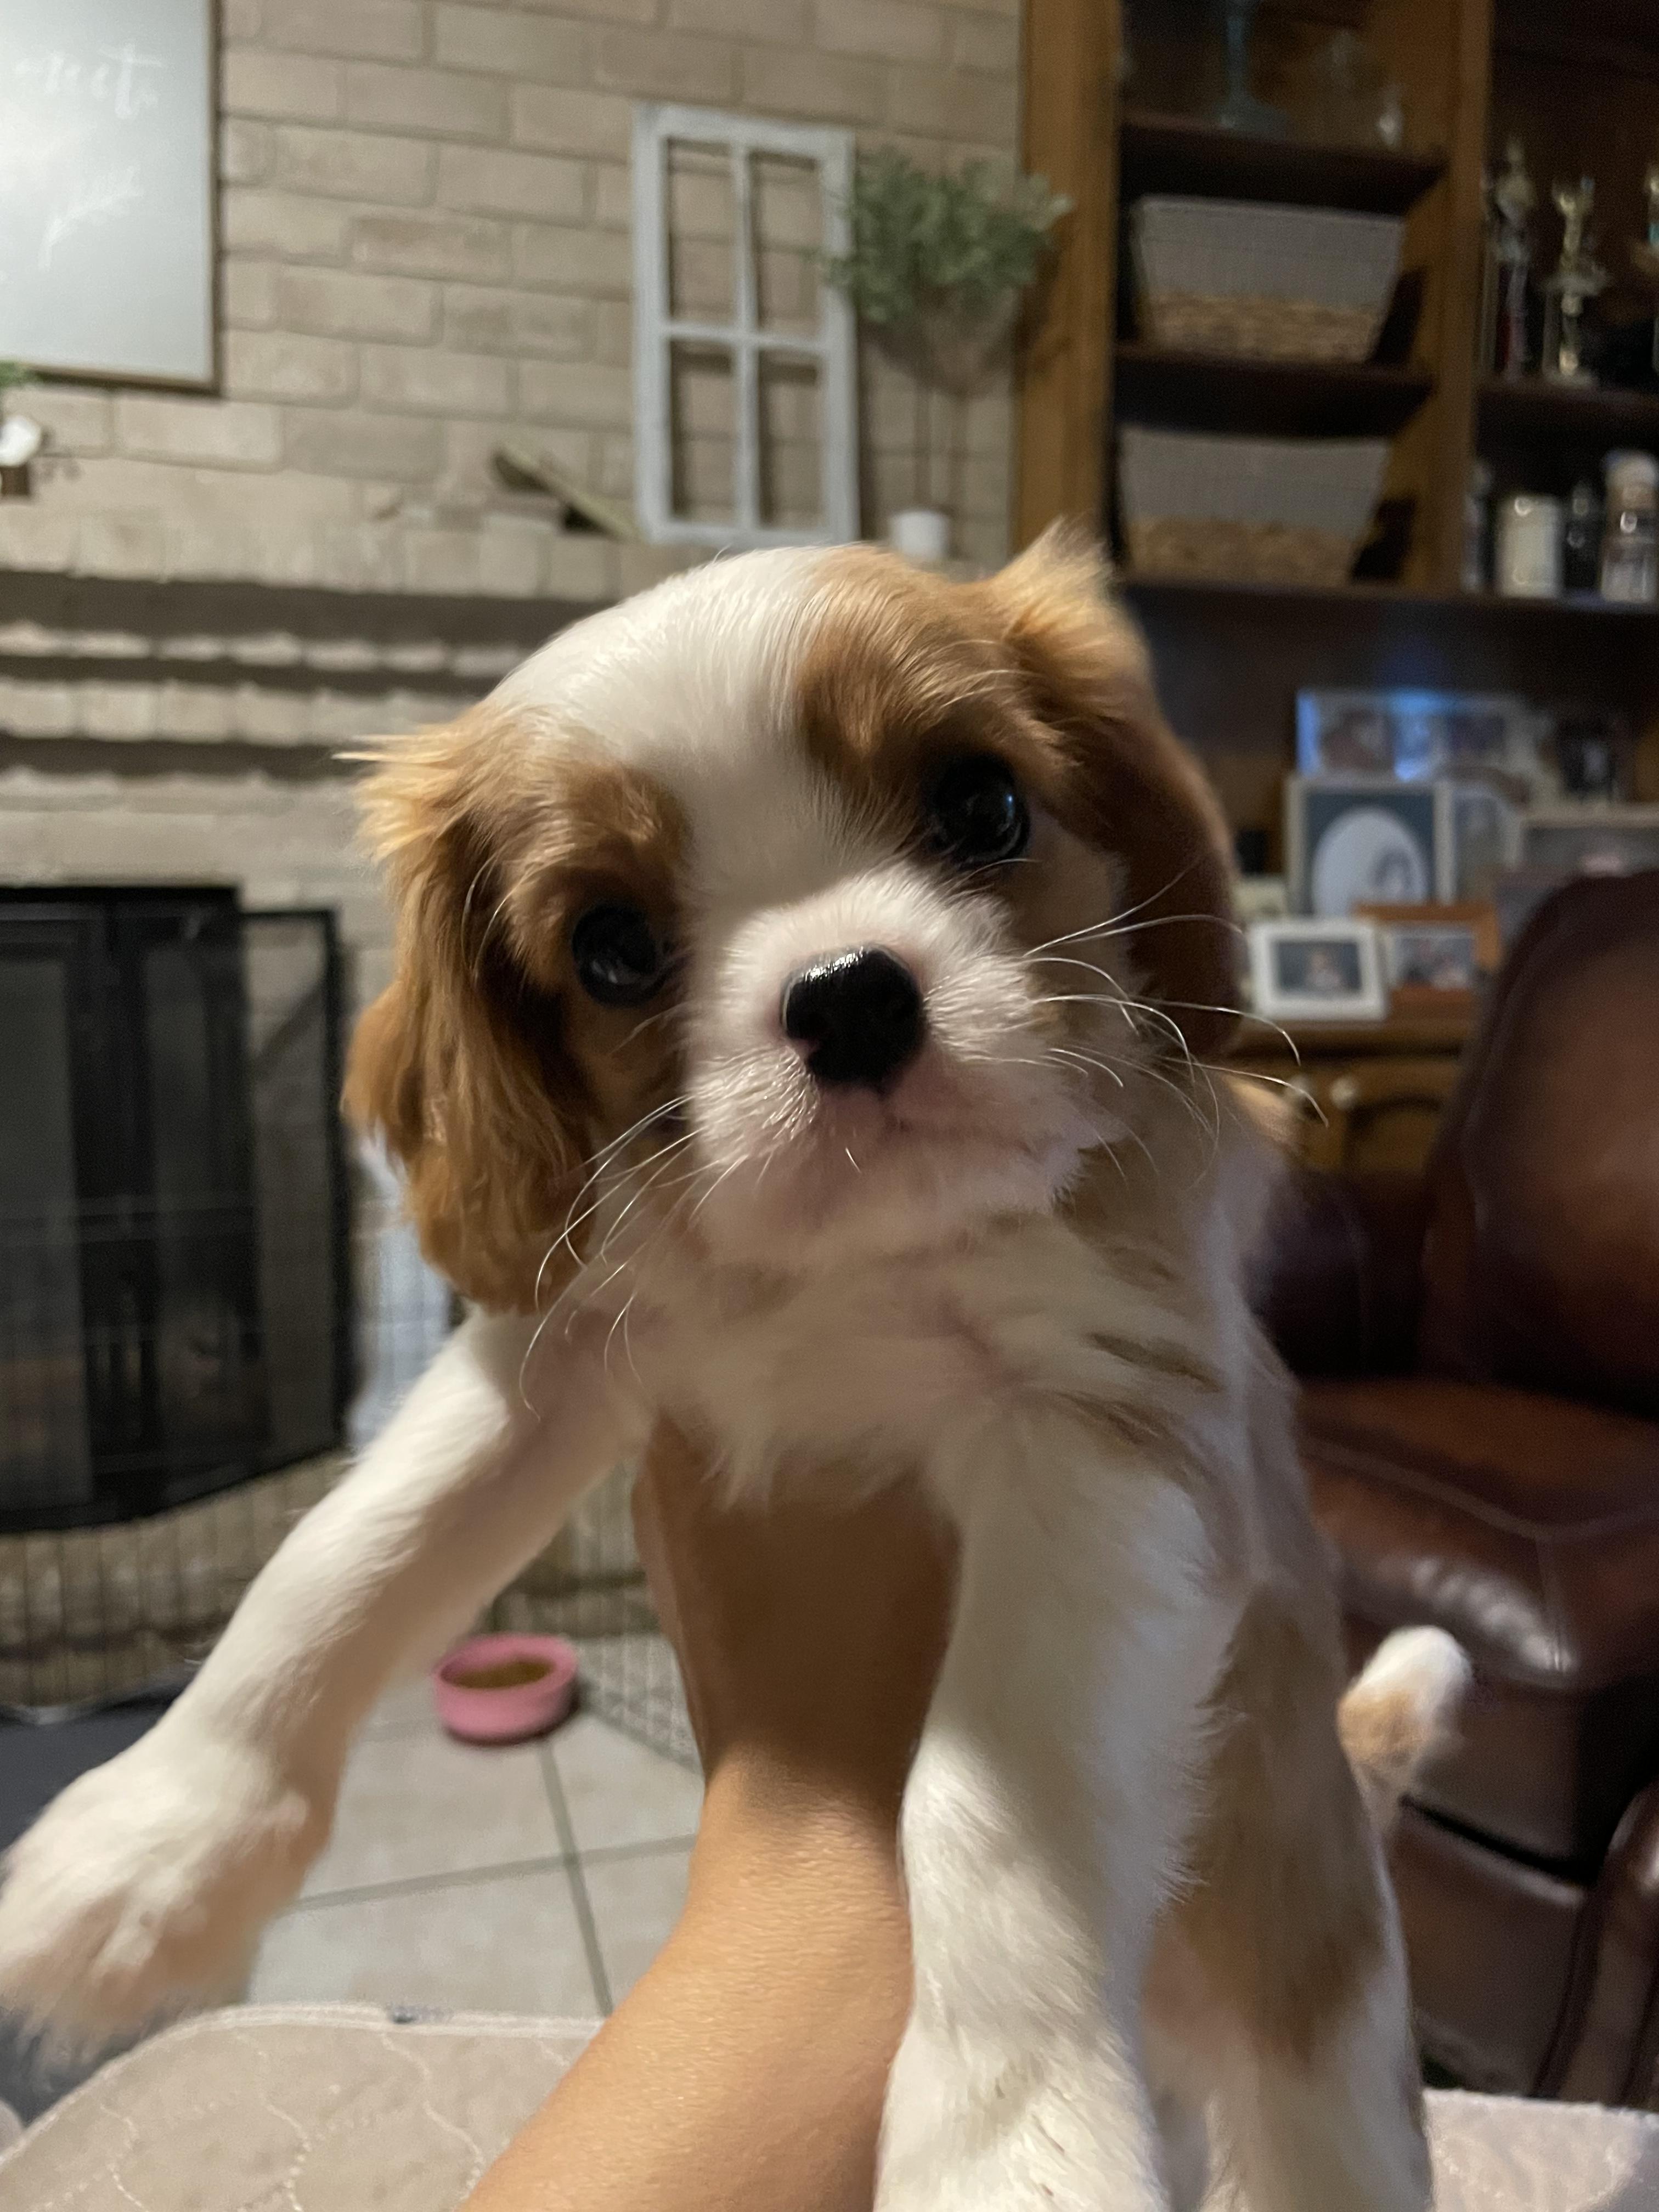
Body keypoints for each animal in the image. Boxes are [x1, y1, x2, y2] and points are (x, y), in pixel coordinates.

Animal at [0, 534, 1466, 2209]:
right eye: (613, 948)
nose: (847, 992)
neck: (845, 1268)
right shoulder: (560, 1354)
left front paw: (1009, 2140)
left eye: (983, 805)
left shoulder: (1113, 1423)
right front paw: (148, 1855)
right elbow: (343, 1556)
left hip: (1322, 2056)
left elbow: (991, 1801)